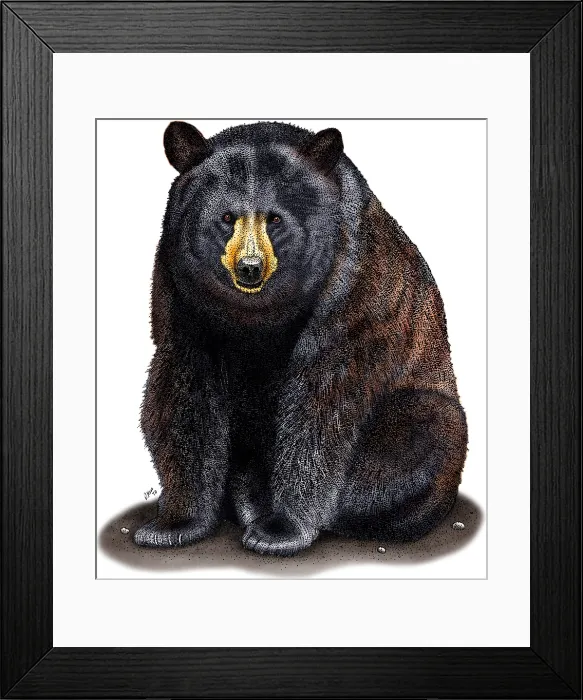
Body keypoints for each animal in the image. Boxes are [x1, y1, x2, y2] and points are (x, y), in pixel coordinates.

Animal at [134, 120, 468, 556]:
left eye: (275, 219)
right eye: (227, 216)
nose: (250, 268)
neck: (259, 312)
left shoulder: (353, 283)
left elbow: (323, 402)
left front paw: (281, 529)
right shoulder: (181, 287)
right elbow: (184, 390)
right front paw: (173, 523)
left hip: (423, 412)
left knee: (423, 428)